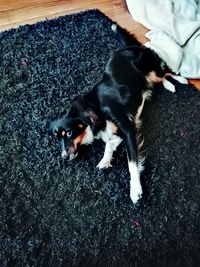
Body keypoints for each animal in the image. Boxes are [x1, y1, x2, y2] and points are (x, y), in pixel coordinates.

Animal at [48, 25, 169, 205]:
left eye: (68, 133)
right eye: (57, 138)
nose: (63, 157)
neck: (94, 108)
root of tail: (131, 47)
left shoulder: (127, 128)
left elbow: (131, 163)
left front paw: (135, 190)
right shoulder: (122, 129)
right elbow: (109, 143)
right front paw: (105, 160)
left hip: (154, 71)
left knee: (166, 71)